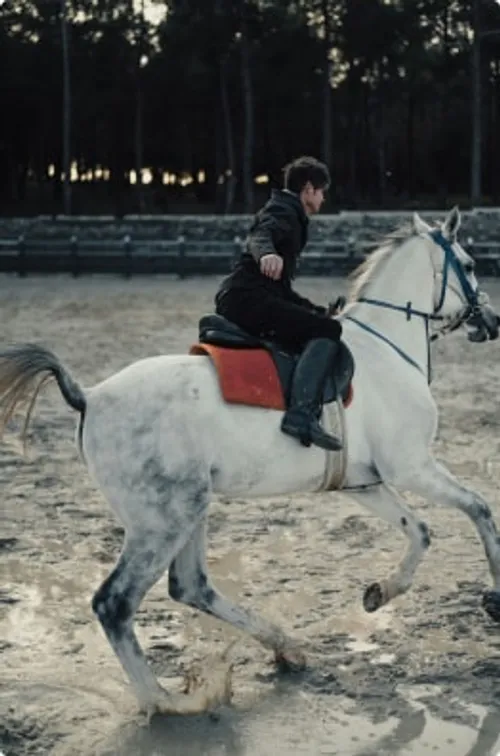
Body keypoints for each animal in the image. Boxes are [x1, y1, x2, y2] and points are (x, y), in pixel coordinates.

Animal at [0, 208, 500, 720]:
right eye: (470, 264)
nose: (491, 321)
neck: (387, 350)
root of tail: (90, 397)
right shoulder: (412, 467)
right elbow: (479, 509)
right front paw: (495, 600)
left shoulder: (368, 484)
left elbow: (420, 532)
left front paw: (381, 592)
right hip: (161, 522)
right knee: (115, 603)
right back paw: (166, 699)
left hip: (191, 509)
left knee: (191, 586)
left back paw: (284, 648)